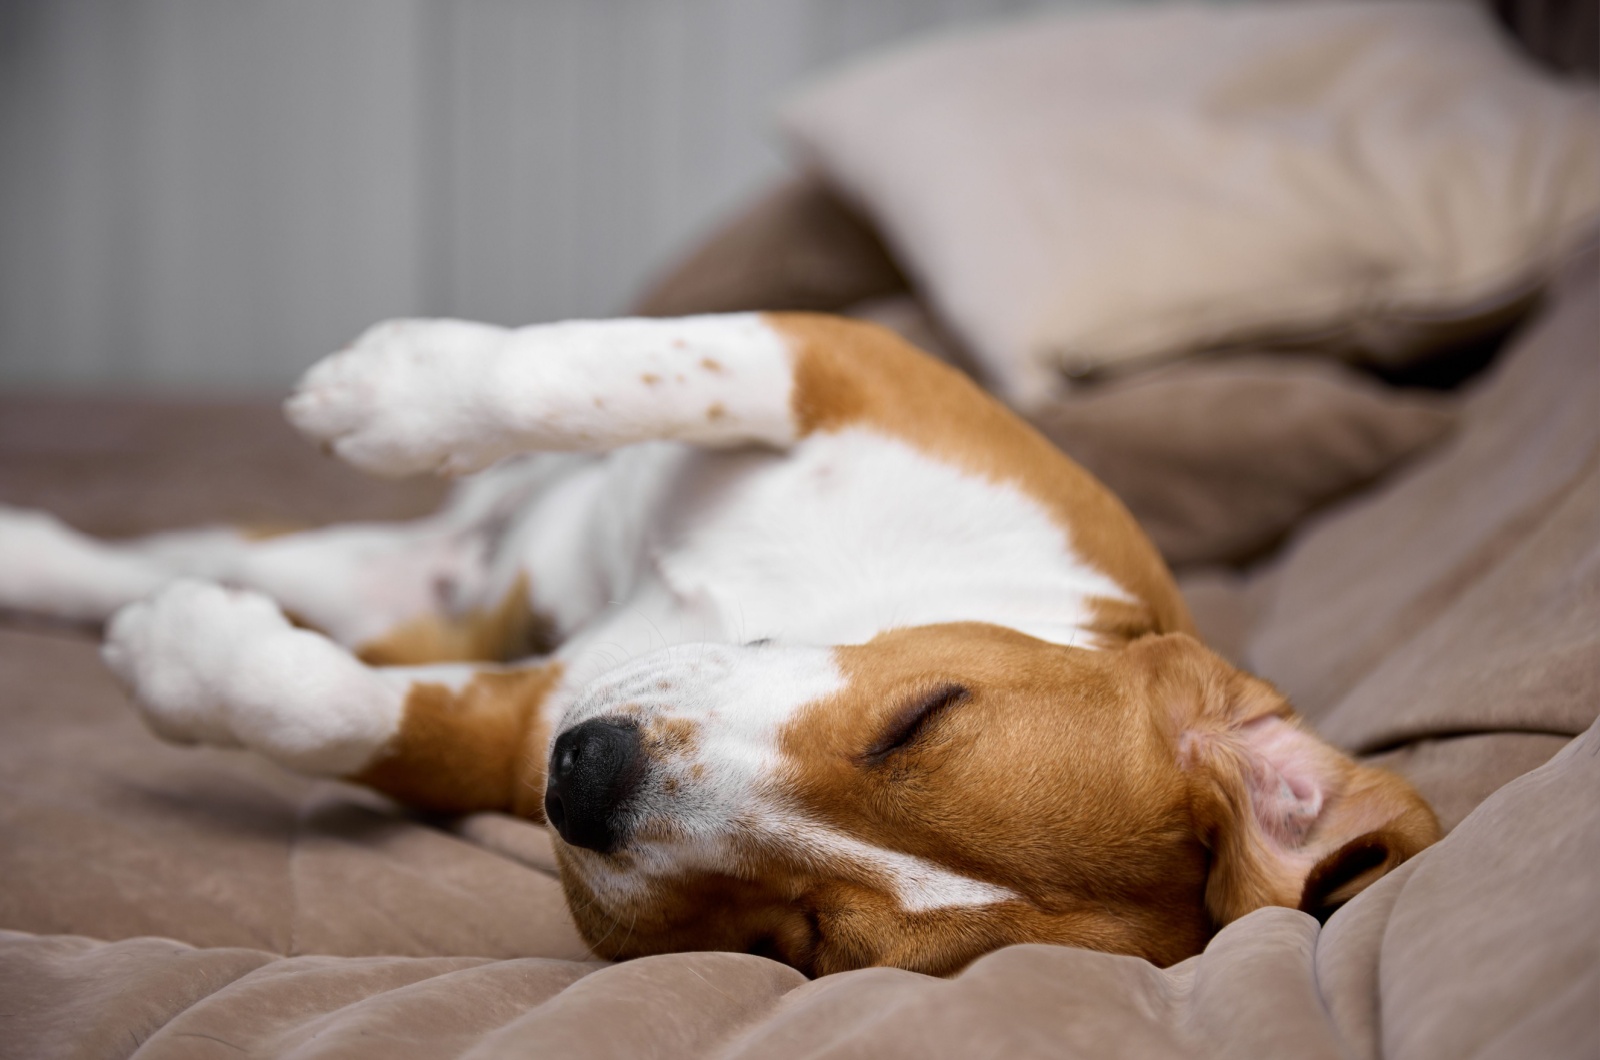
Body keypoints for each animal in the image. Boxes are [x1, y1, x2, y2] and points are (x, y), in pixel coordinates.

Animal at [0, 313, 1440, 979]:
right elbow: (601, 370)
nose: (586, 779)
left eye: (806, 945)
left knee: (204, 567)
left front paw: (186, 660)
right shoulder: (844, 362)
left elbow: (349, 716)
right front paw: (394, 389)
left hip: (385, 597)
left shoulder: (520, 718)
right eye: (923, 712)